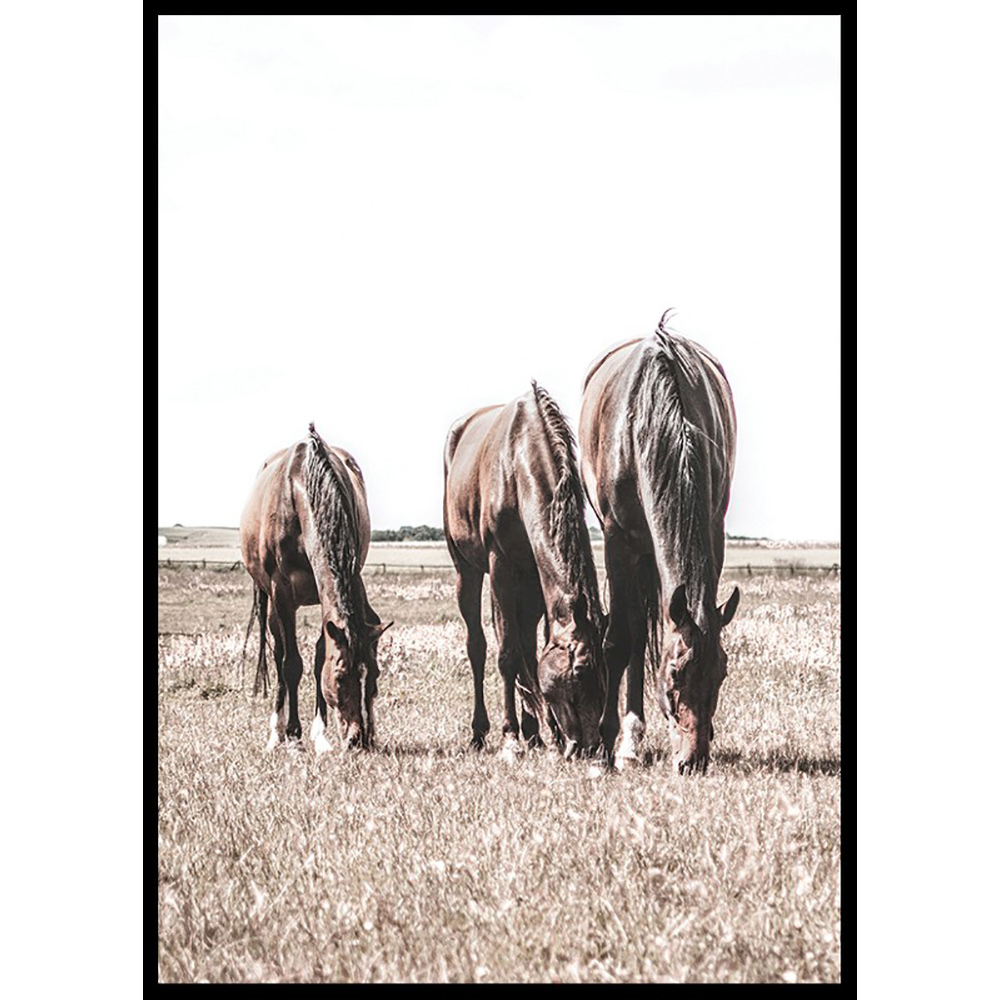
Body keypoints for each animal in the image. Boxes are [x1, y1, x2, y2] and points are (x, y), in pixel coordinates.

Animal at [240, 424, 392, 753]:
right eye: (341, 677)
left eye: (375, 674)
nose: (359, 740)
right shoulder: (282, 593)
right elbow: (291, 664)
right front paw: (293, 735)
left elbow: (319, 658)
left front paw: (320, 735)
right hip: (270, 603)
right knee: (279, 654)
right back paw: (277, 733)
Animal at [443, 381, 606, 758]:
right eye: (578, 675)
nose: (589, 748)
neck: (518, 464)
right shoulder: (500, 567)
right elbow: (506, 653)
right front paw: (510, 735)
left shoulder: (535, 576)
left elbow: (532, 652)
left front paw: (546, 733)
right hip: (467, 570)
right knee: (479, 646)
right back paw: (482, 732)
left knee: (526, 647)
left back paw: (533, 731)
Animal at [579, 312, 740, 774]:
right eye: (673, 675)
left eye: (721, 673)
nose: (693, 760)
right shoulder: (617, 539)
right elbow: (619, 640)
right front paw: (606, 745)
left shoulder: (713, 530)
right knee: (633, 631)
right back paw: (627, 742)